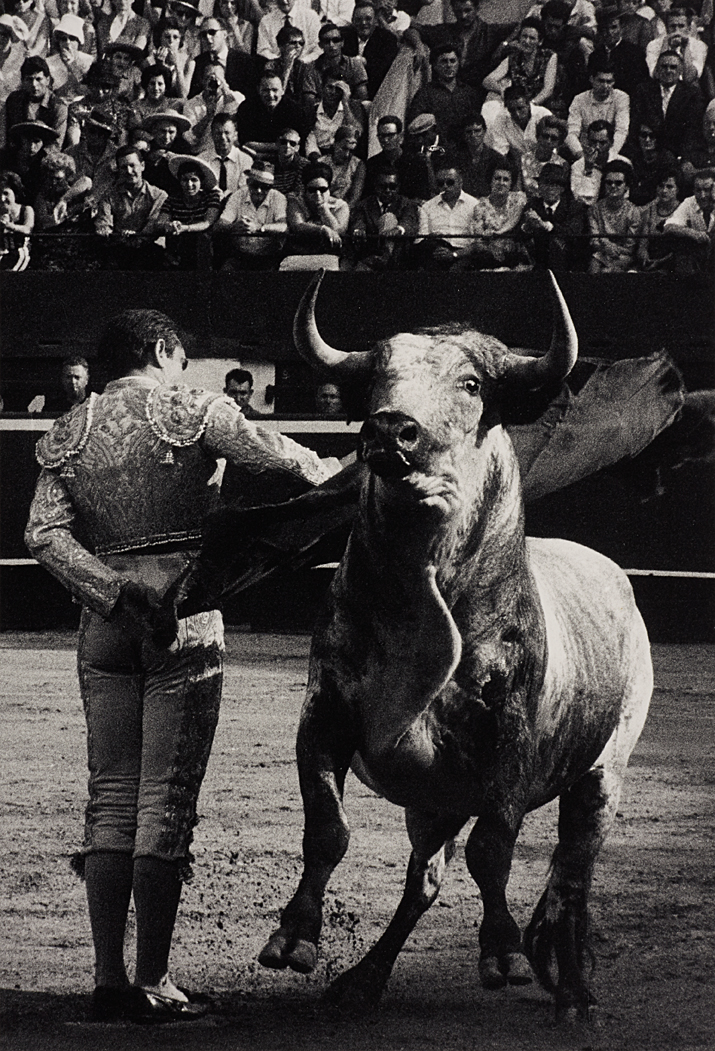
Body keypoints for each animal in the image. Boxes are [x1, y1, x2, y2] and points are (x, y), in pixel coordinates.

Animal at [255, 271, 654, 1020]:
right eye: (380, 376)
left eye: (471, 383)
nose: (390, 428)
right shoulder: (323, 713)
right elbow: (327, 827)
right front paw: (293, 938)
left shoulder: (511, 740)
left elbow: (493, 850)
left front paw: (503, 953)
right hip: (435, 800)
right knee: (425, 881)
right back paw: (364, 979)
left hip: (601, 773)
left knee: (572, 876)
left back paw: (574, 993)